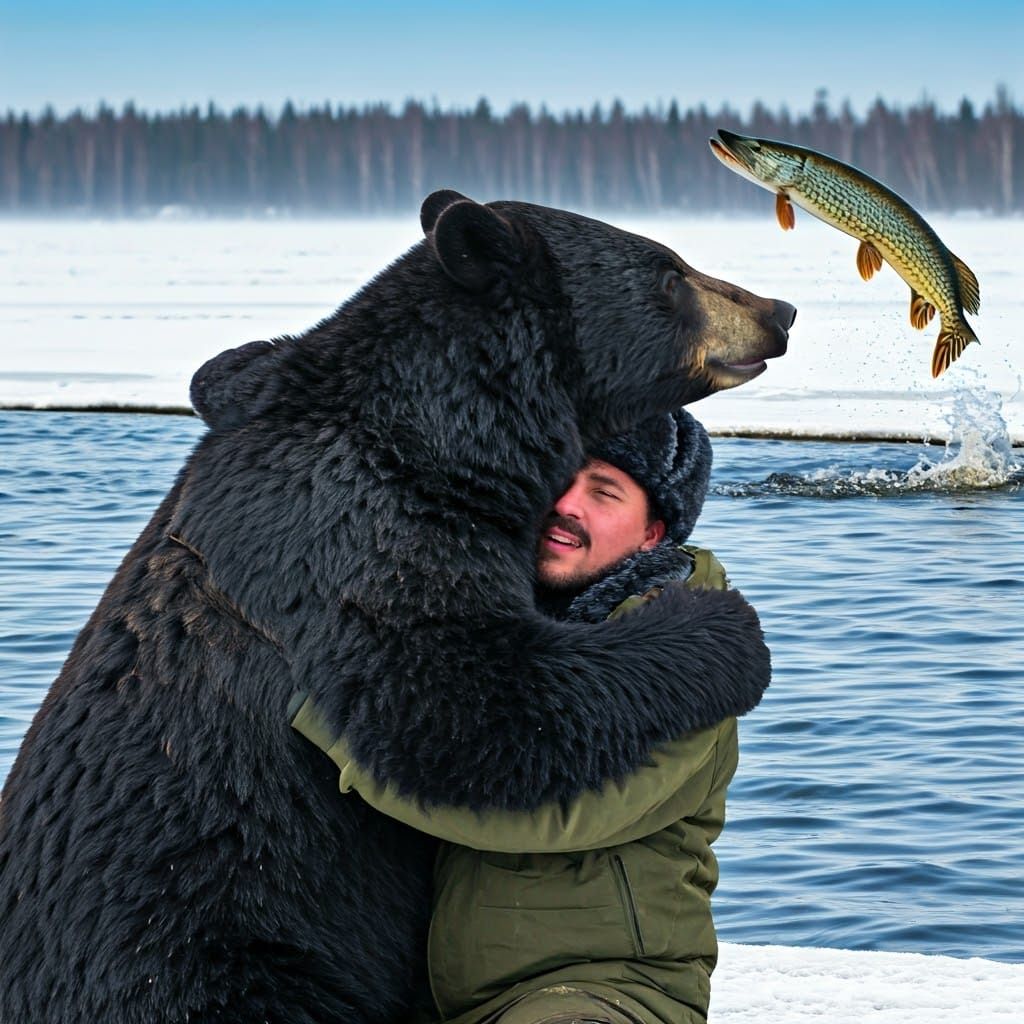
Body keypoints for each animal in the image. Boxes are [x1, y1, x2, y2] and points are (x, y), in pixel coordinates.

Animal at [0, 191, 795, 1023]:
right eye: (670, 275)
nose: (779, 310)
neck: (445, 430)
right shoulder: (358, 531)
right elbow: (466, 703)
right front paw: (726, 630)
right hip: (215, 954)